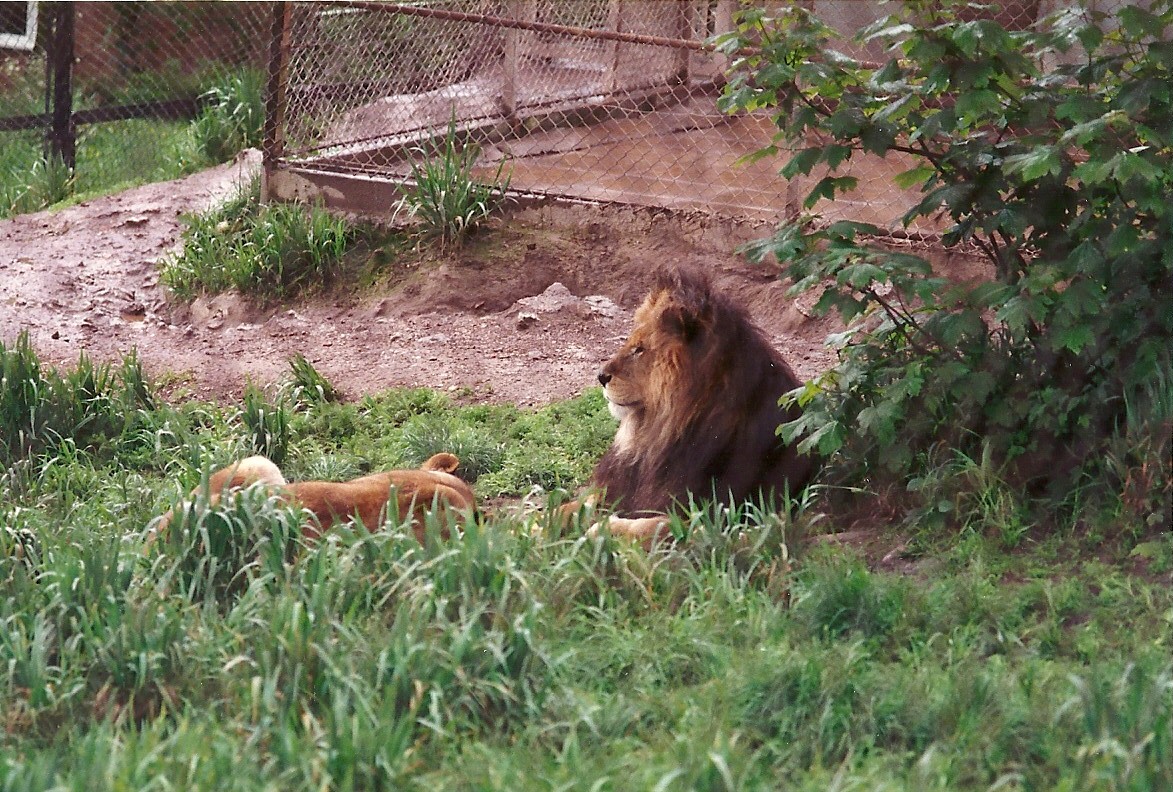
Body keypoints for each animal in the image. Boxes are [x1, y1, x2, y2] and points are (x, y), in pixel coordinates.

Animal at [576, 268, 814, 545]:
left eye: (640, 349)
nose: (600, 376)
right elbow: (575, 504)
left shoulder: (725, 519)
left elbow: (654, 525)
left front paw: (602, 529)